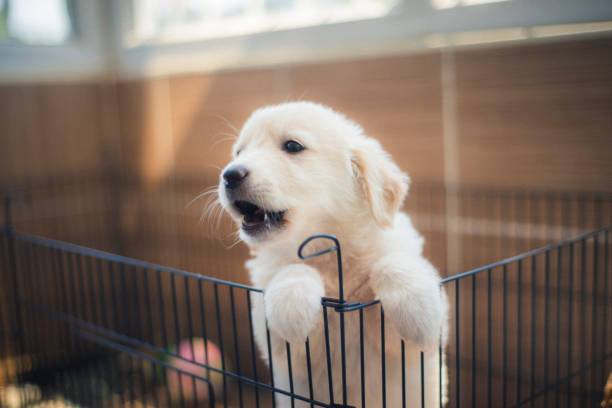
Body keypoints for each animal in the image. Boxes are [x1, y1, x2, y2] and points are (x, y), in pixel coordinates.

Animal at [218, 100, 448, 406]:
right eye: (239, 152)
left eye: (292, 146)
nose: (230, 174)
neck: (329, 255)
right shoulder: (283, 350)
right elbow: (292, 270)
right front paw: (292, 305)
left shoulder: (404, 352)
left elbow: (392, 264)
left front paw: (418, 308)